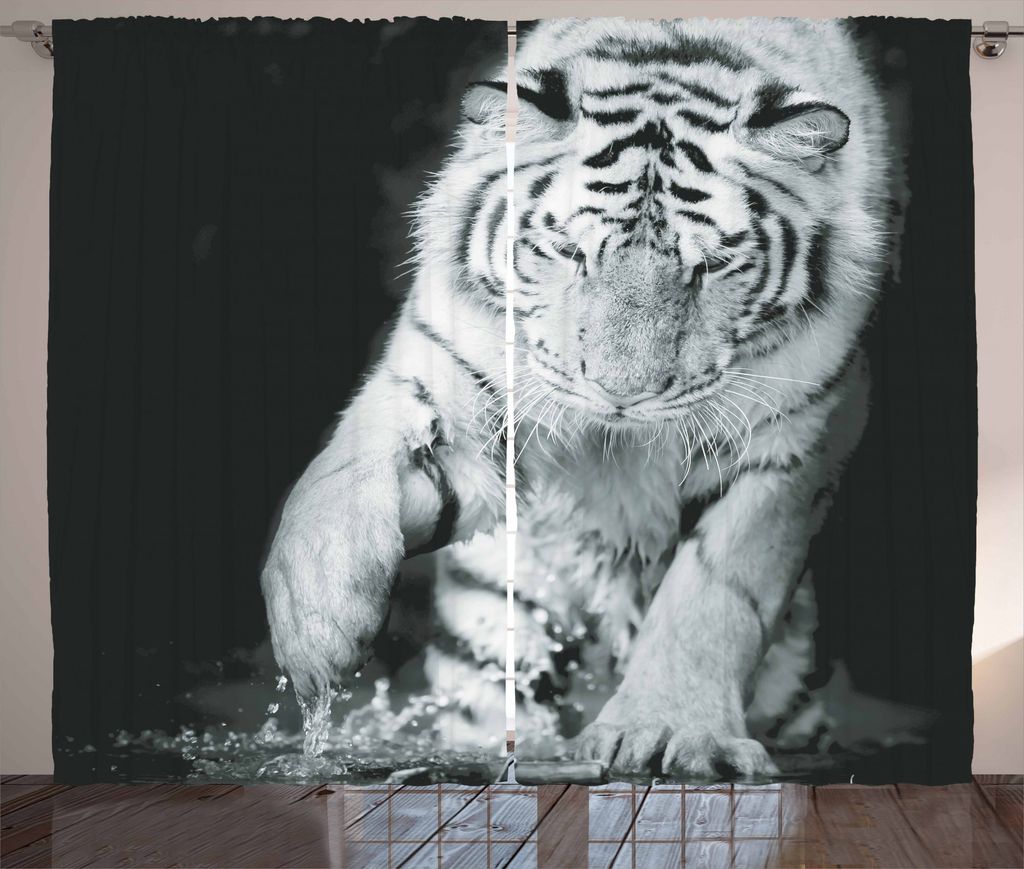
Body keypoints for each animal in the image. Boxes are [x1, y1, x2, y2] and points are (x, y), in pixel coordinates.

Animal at [259, 17, 904, 778]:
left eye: (711, 266)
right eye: (570, 252)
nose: (620, 393)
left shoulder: (790, 441)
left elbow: (713, 592)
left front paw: (666, 728)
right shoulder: (452, 381)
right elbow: (338, 479)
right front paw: (316, 635)